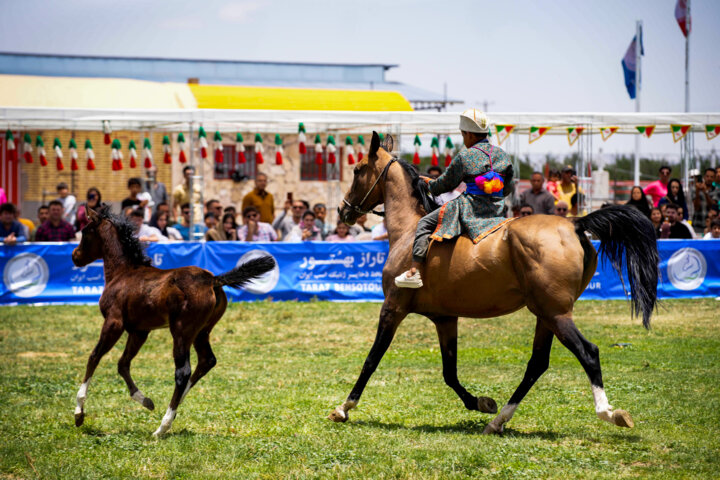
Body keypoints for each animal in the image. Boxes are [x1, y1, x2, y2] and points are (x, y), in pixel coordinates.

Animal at [72, 204, 276, 436]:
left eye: (85, 232)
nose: (75, 256)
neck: (123, 273)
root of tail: (212, 280)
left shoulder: (114, 323)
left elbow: (94, 357)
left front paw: (79, 412)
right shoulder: (139, 330)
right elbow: (123, 364)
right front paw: (145, 400)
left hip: (181, 331)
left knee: (183, 372)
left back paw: (163, 426)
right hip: (201, 332)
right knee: (206, 361)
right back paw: (174, 410)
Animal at [328, 132, 660, 436]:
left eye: (357, 169)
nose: (343, 211)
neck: (409, 230)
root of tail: (574, 223)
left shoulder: (393, 308)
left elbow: (372, 359)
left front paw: (344, 407)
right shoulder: (445, 318)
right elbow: (449, 372)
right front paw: (481, 402)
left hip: (555, 314)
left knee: (587, 352)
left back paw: (608, 412)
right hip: (546, 315)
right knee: (537, 363)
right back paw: (498, 420)